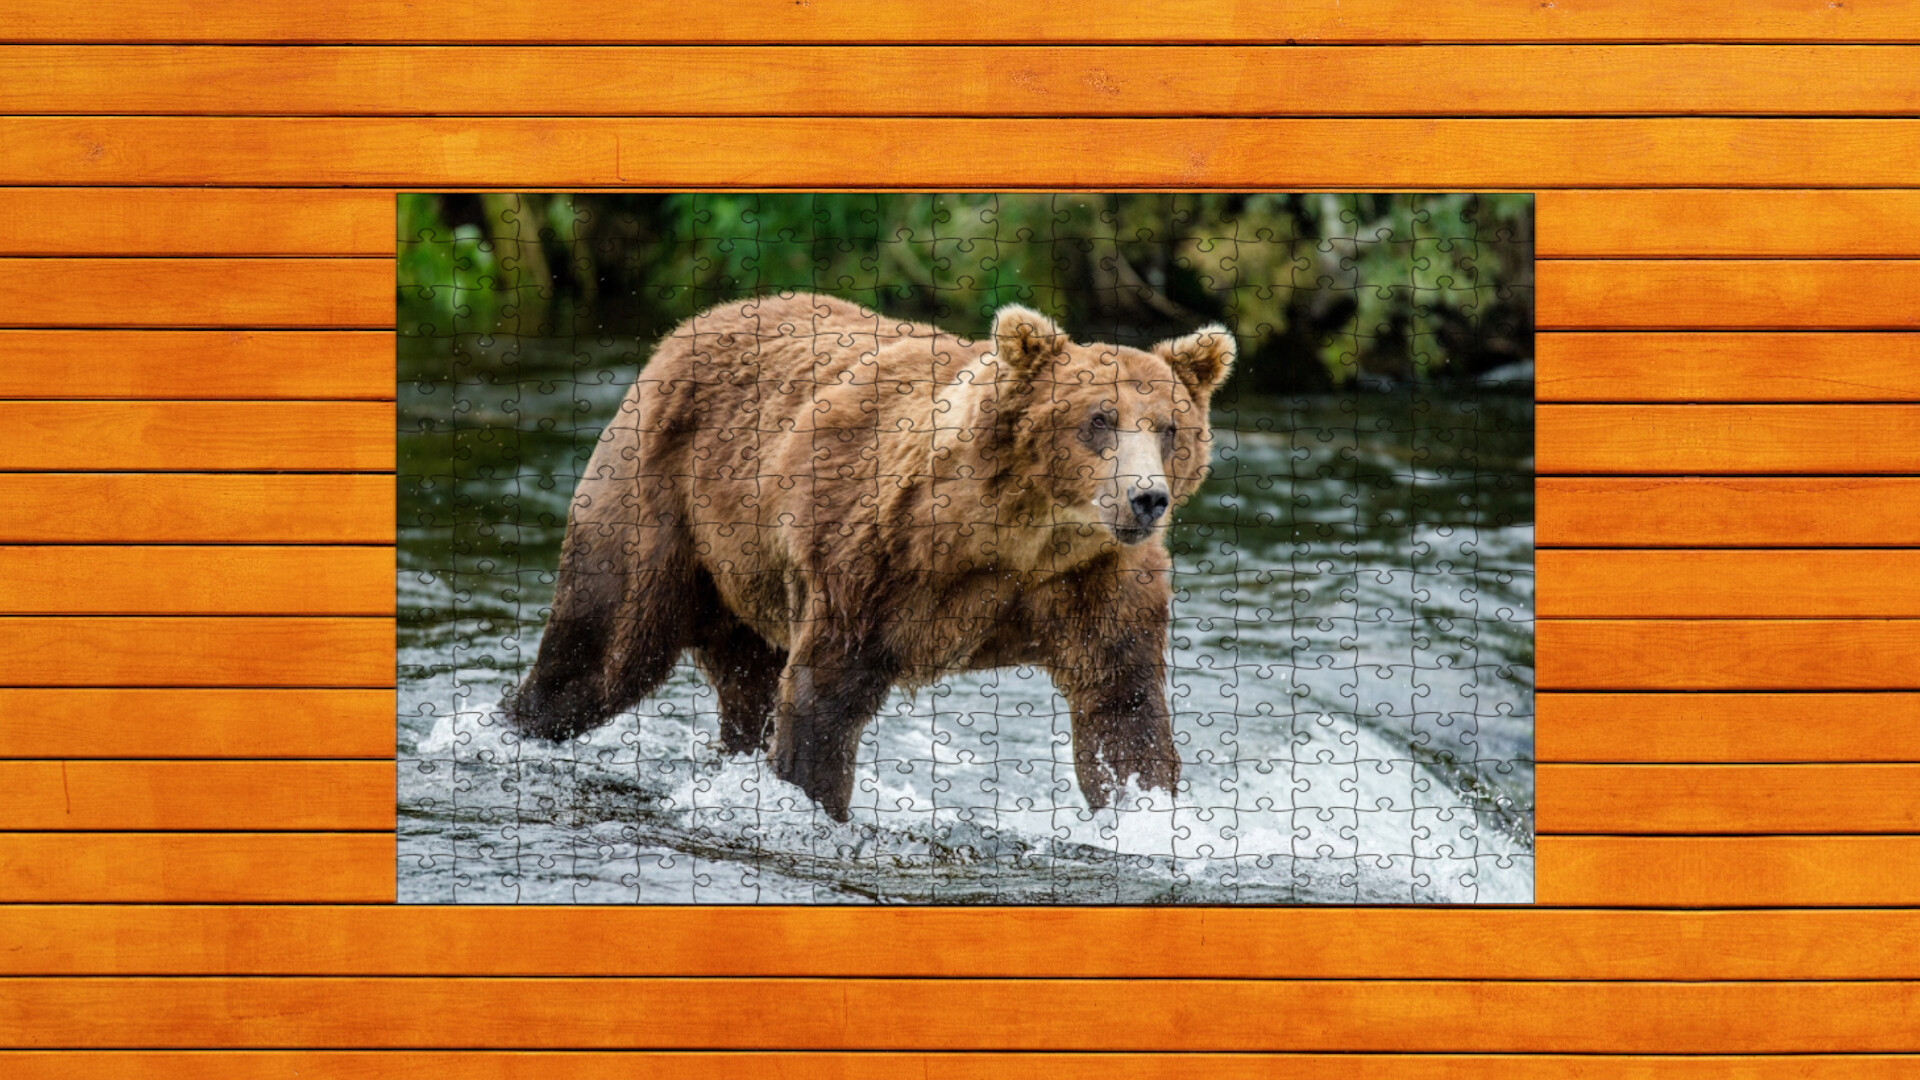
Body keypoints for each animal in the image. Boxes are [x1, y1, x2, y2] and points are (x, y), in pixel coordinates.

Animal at [504, 292, 1235, 821]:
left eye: (1170, 427)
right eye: (1098, 419)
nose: (1146, 498)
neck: (1010, 534)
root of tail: (692, 325)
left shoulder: (1088, 580)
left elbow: (1121, 707)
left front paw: (1142, 813)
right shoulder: (873, 561)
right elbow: (824, 697)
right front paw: (814, 803)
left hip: (748, 578)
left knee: (746, 684)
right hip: (660, 497)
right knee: (602, 651)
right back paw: (514, 726)